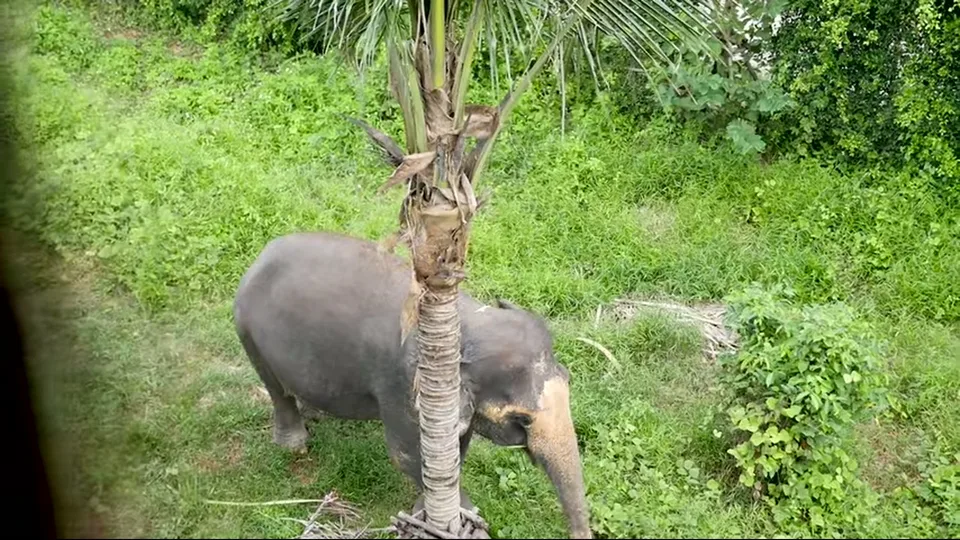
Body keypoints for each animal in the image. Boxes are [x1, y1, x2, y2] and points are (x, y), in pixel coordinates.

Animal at [233, 231, 591, 539]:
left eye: (569, 379)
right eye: (523, 419)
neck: (467, 322)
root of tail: (261, 255)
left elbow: (456, 449)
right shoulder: (405, 386)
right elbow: (407, 454)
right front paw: (463, 523)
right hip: (248, 333)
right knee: (275, 389)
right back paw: (294, 444)